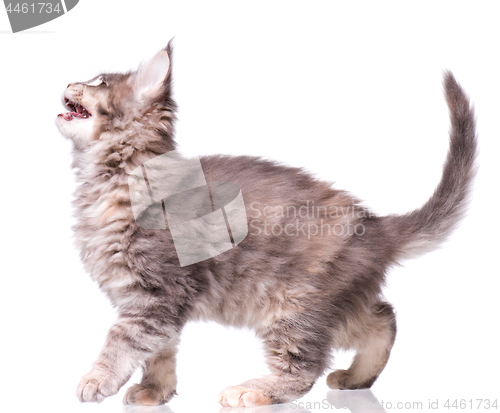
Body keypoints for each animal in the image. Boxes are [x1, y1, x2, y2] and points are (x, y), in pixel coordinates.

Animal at [55, 41, 476, 406]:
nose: (67, 80)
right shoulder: (157, 302)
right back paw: (357, 377)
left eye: (98, 83)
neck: (115, 180)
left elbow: (123, 339)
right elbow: (160, 350)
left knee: (304, 368)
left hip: (293, 306)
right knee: (384, 318)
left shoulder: (158, 292)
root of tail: (374, 226)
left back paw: (253, 390)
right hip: (334, 306)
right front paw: (156, 392)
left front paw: (97, 379)